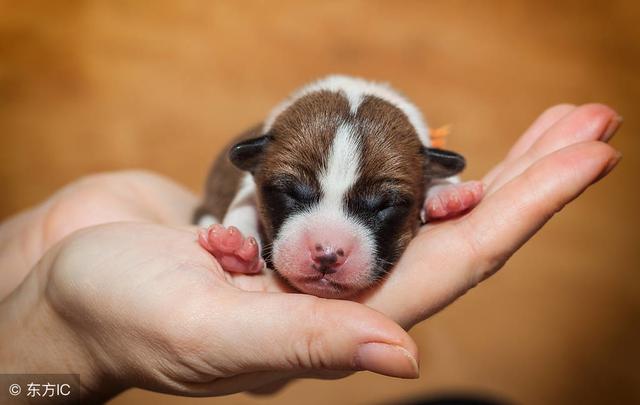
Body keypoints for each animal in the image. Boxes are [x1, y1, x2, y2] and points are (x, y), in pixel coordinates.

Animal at [194, 76, 480, 296]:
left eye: (385, 205)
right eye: (290, 192)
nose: (328, 255)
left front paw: (448, 195)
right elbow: (243, 205)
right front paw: (236, 246)